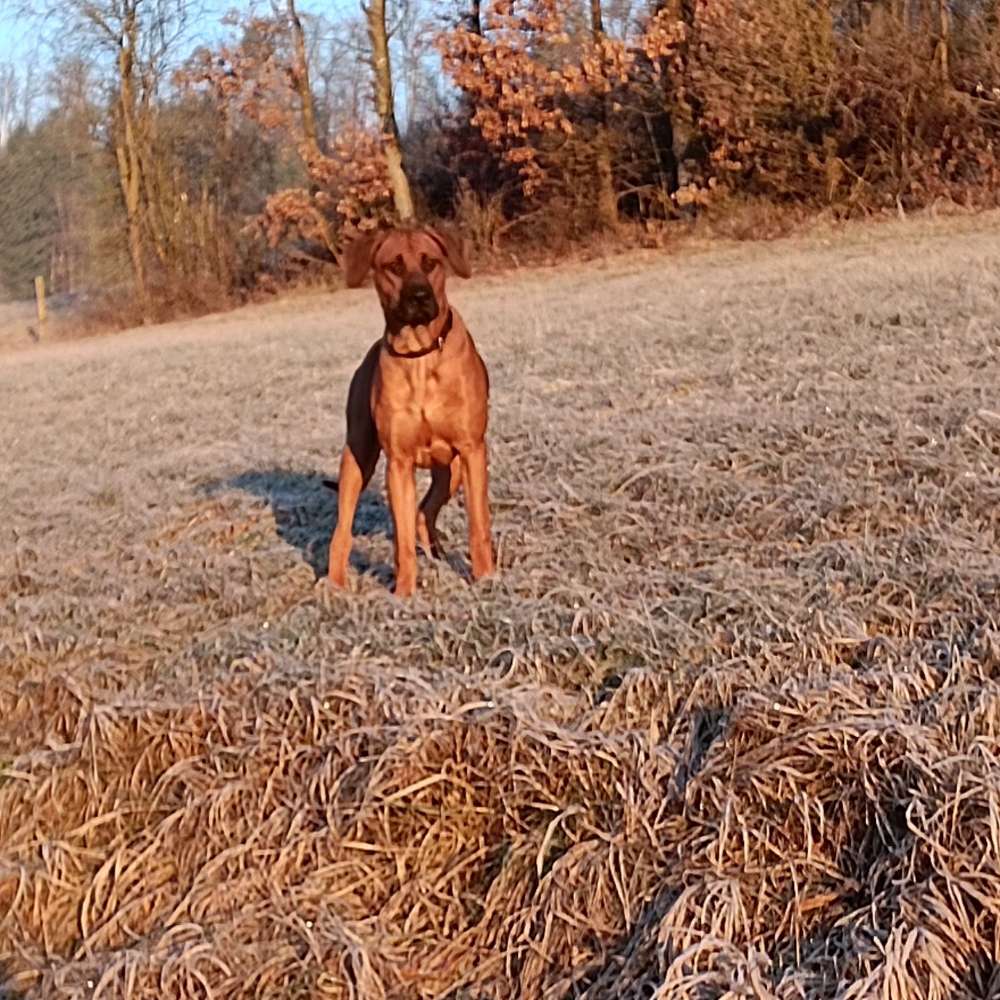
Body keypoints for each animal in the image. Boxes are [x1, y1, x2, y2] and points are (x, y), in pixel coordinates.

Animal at [328, 227, 496, 592]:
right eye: (394, 266)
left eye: (430, 262)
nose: (419, 295)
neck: (420, 356)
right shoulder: (399, 463)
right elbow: (401, 541)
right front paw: (404, 594)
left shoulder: (472, 450)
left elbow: (478, 525)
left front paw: (487, 580)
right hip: (356, 457)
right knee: (343, 530)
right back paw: (334, 586)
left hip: (454, 469)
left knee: (424, 510)